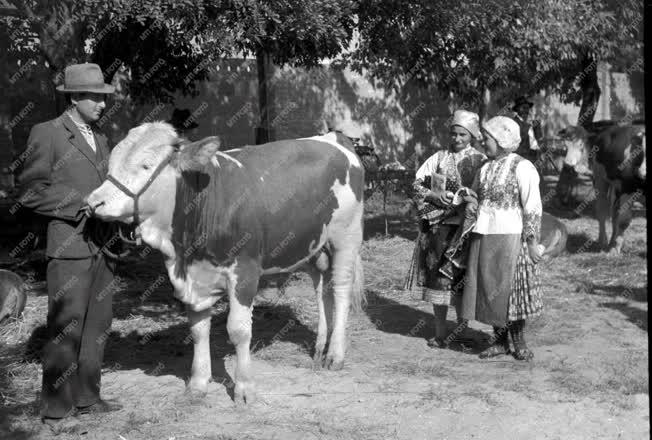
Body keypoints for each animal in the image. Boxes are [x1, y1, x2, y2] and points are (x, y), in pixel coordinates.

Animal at [83, 123, 364, 402]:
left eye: (146, 165)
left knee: (340, 291)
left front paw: (244, 387)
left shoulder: (245, 271)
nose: (94, 202)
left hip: (346, 238)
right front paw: (198, 384)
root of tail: (333, 137)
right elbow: (198, 330)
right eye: (111, 163)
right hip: (314, 247)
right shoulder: (193, 278)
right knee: (322, 291)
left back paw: (335, 355)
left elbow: (239, 330)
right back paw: (319, 347)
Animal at [560, 122, 648, 254]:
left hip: (615, 187)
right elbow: (624, 221)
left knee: (614, 213)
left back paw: (612, 241)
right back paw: (604, 242)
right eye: (641, 150)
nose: (643, 173)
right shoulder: (626, 188)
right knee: (602, 210)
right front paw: (615, 250)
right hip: (600, 179)